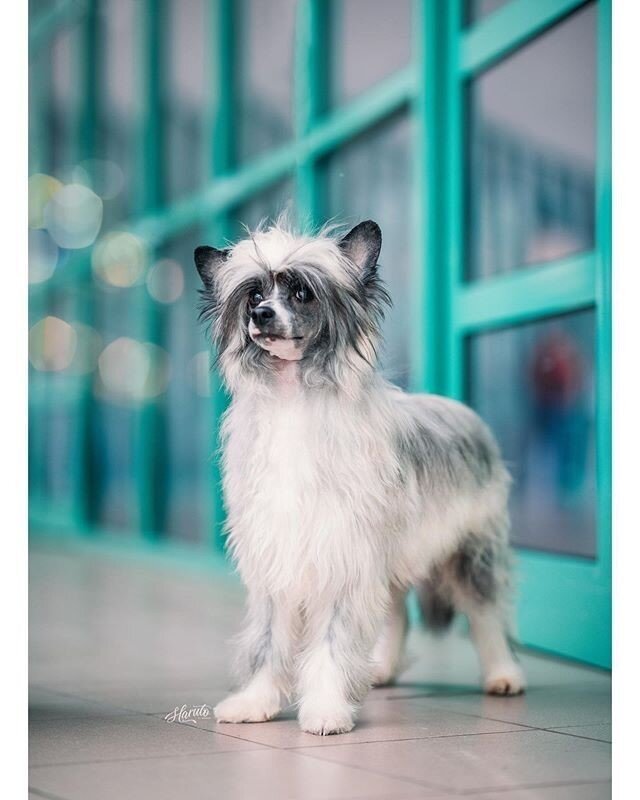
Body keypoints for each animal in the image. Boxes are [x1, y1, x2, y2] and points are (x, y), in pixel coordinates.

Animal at [195, 216, 524, 736]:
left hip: (473, 551)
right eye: (253, 295)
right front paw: (256, 701)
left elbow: (332, 642)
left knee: (487, 612)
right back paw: (381, 669)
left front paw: (327, 708)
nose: (262, 315)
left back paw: (503, 674)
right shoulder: (278, 562)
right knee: (396, 615)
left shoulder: (342, 555)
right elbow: (268, 641)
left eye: (303, 292)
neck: (295, 401)